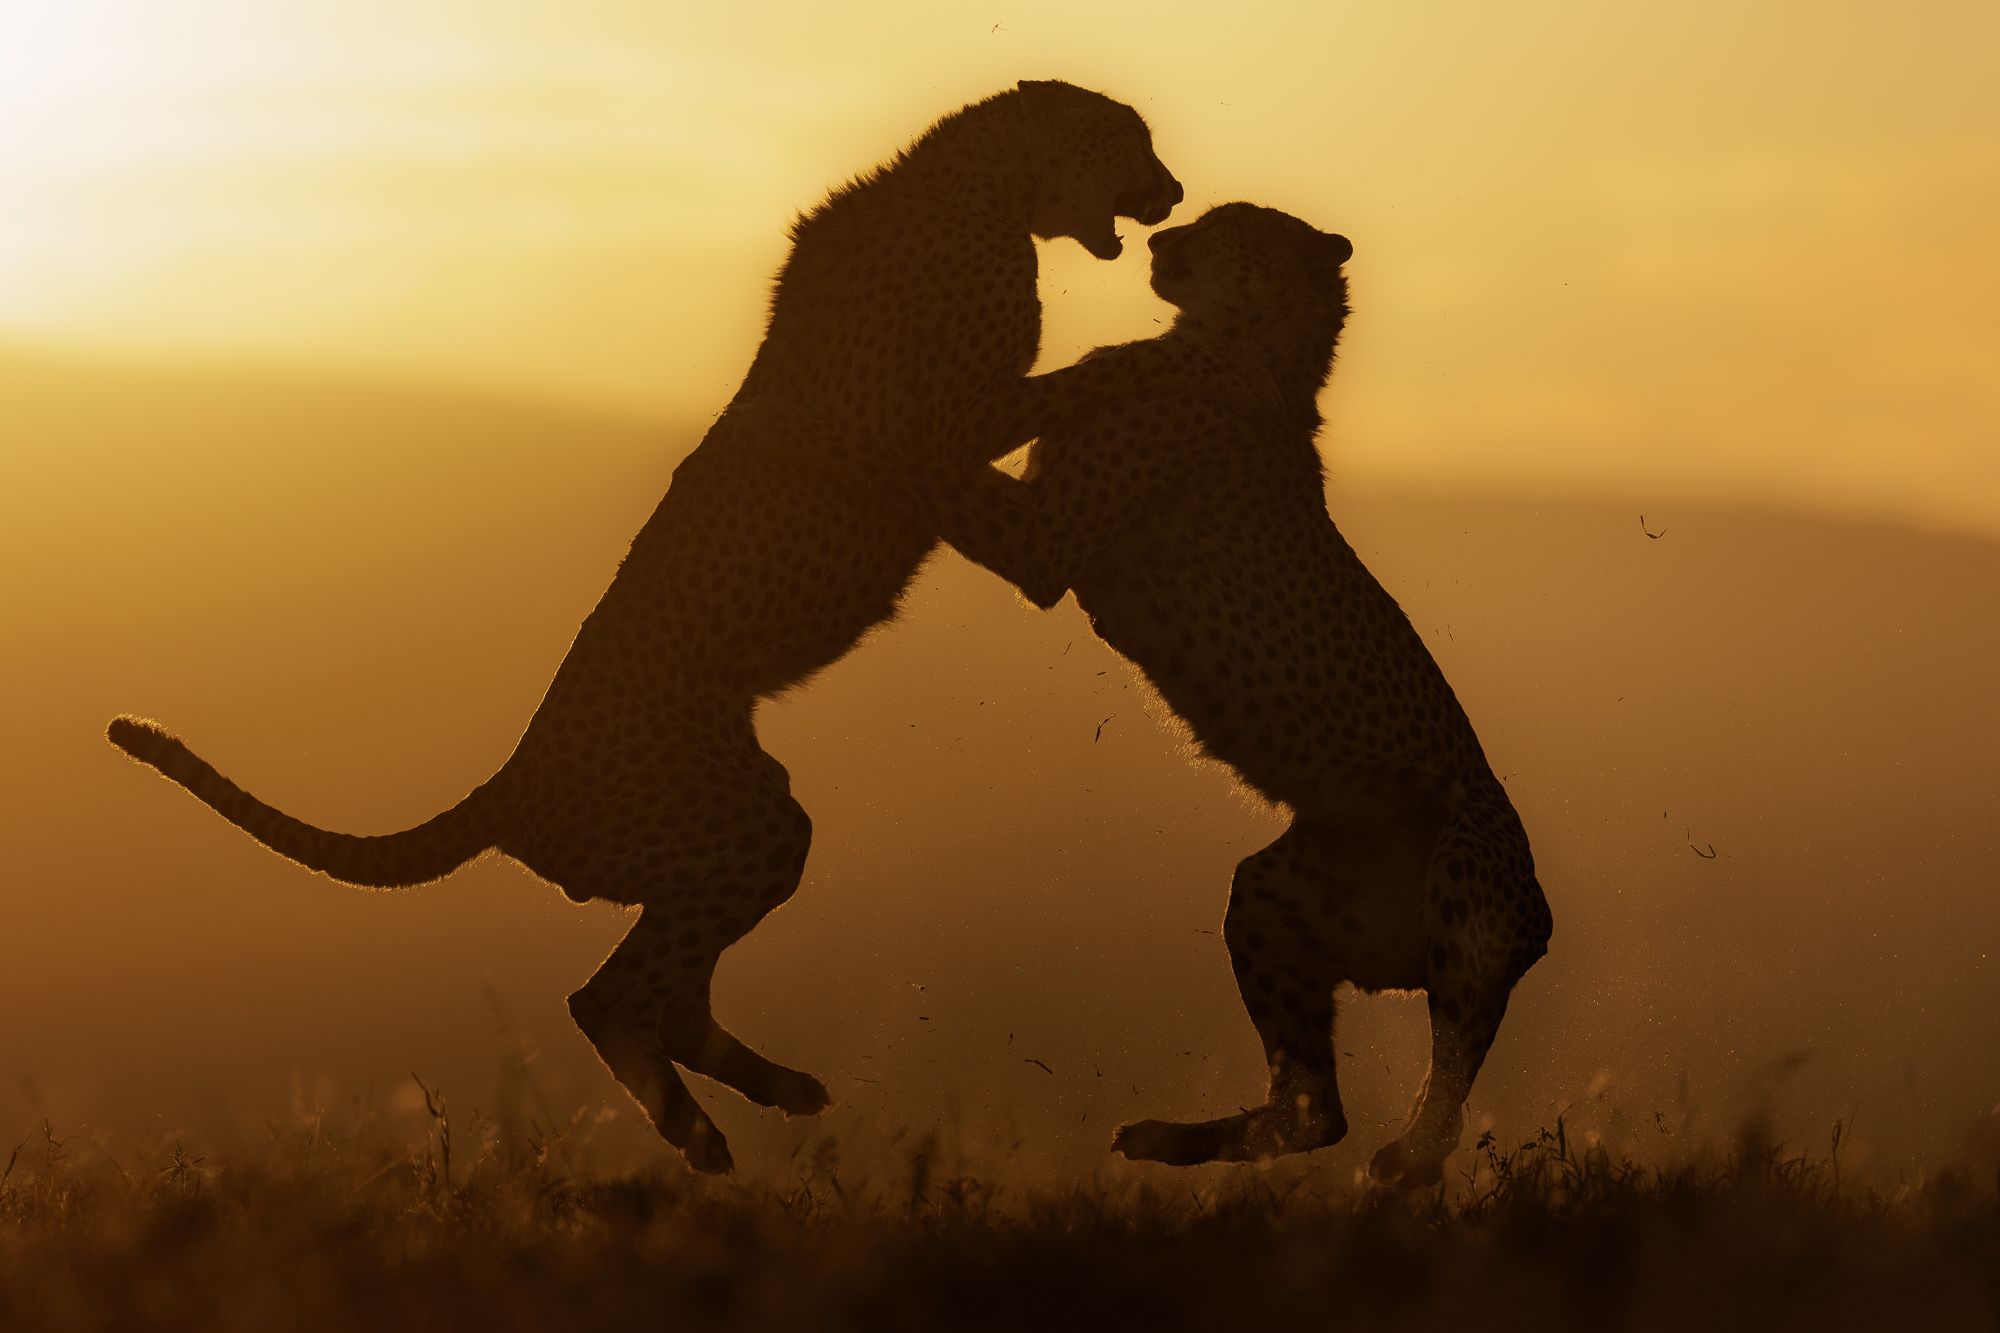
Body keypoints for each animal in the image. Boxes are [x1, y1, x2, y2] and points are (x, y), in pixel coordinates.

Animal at [107, 80, 1182, 1175]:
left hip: (737, 830)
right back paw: (704, 1129)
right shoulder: (946, 419)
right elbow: (1083, 380)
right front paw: (1164, 357)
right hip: (737, 827)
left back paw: (771, 1094)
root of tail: (510, 783)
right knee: (610, 996)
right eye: (1129, 140)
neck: (985, 188)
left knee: (658, 996)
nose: (1173, 192)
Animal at [925, 203, 1552, 1188]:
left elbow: (943, 462)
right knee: (1313, 1112)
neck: (1234, 344)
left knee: (1442, 1095)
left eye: (1229, 225)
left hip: (1463, 886)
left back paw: (1403, 1152)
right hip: (1268, 895)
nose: (1157, 242)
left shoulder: (1041, 543)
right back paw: (1172, 1139)